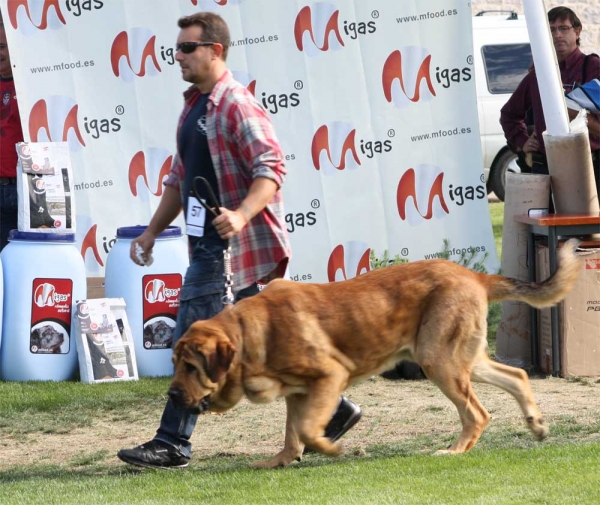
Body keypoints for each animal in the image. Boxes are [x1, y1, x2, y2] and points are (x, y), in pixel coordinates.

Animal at [168, 238, 580, 466]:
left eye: (190, 367)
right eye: (175, 364)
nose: (172, 396)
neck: (246, 333)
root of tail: (476, 276)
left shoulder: (328, 377)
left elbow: (306, 428)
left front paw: (331, 450)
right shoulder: (297, 393)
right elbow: (291, 432)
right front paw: (280, 461)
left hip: (440, 362)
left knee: (477, 413)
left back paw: (454, 451)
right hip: (463, 360)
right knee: (517, 375)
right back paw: (536, 425)